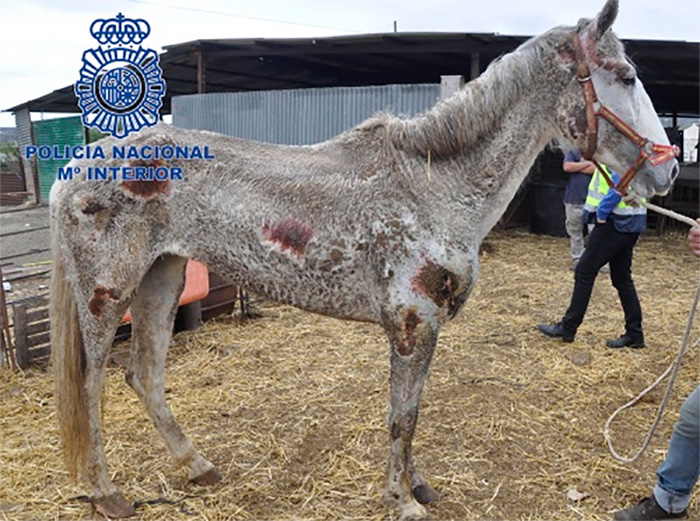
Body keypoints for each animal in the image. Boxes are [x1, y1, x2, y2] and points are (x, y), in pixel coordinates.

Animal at [49, 1, 678, 519]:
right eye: (625, 77)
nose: (668, 169)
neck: (433, 187)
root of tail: (74, 167)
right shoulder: (412, 324)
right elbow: (402, 416)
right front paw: (402, 502)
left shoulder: (423, 327)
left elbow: (413, 410)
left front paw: (417, 485)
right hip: (107, 293)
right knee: (91, 385)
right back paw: (107, 494)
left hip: (163, 277)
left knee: (145, 375)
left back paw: (199, 466)